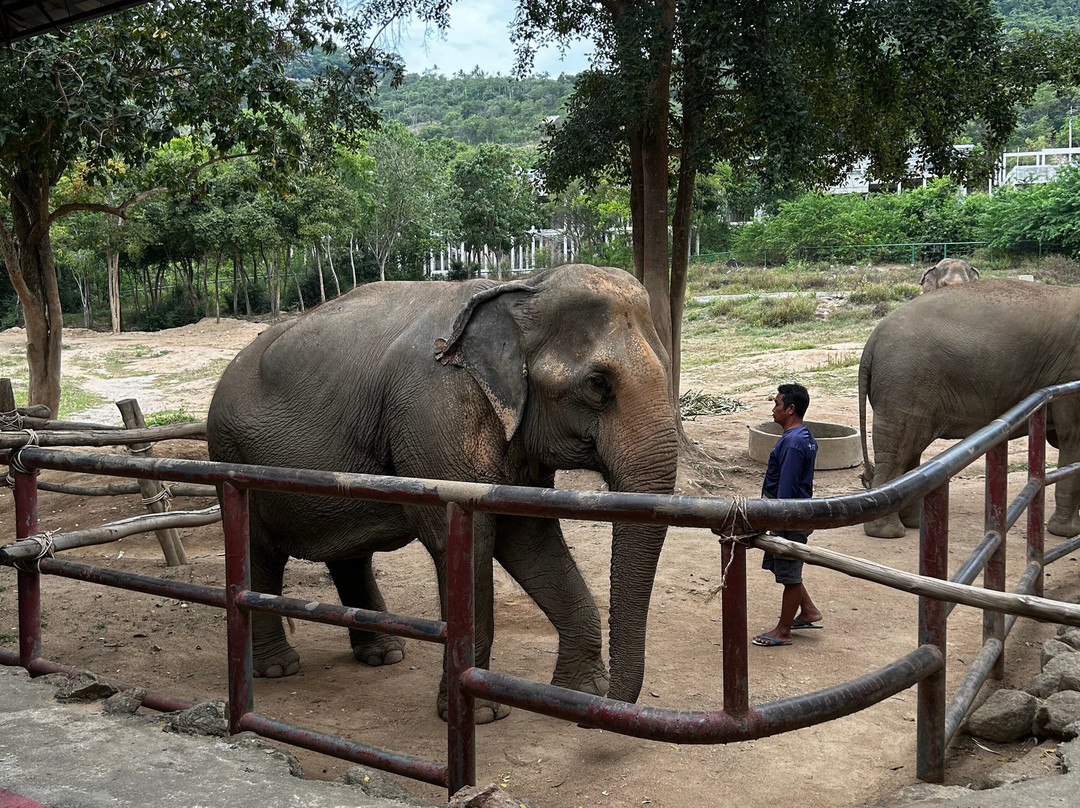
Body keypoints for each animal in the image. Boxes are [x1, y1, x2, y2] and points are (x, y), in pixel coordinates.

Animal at [206, 263, 679, 722]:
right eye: (598, 384)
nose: (591, 719)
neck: (521, 287)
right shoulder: (436, 416)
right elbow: (471, 544)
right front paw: (481, 715)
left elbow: (531, 538)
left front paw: (580, 694)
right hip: (233, 457)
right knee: (258, 552)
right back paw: (277, 668)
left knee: (347, 553)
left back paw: (384, 655)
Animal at [858, 278, 1080, 538]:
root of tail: (872, 342)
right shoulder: (1071, 372)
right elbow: (1072, 435)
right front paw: (1068, 533)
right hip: (903, 382)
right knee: (899, 451)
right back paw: (888, 532)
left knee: (910, 451)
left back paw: (913, 523)